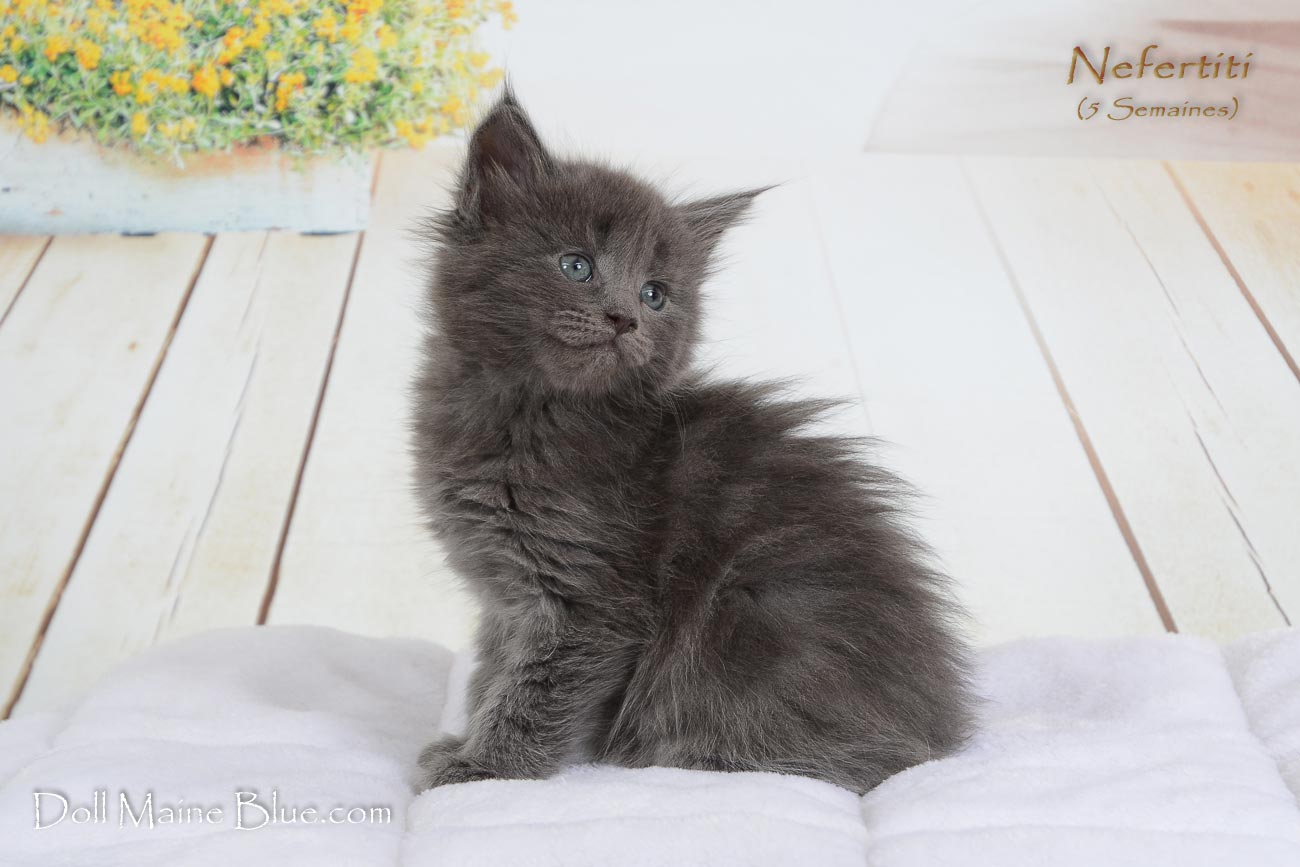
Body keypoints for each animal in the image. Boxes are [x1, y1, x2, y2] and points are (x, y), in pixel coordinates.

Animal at [411, 90, 973, 795]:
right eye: (576, 265)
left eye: (656, 295)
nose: (625, 318)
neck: (523, 413)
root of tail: (935, 740)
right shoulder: (505, 595)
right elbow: (493, 670)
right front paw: (464, 744)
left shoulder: (587, 599)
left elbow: (534, 689)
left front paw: (487, 769)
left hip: (746, 620)